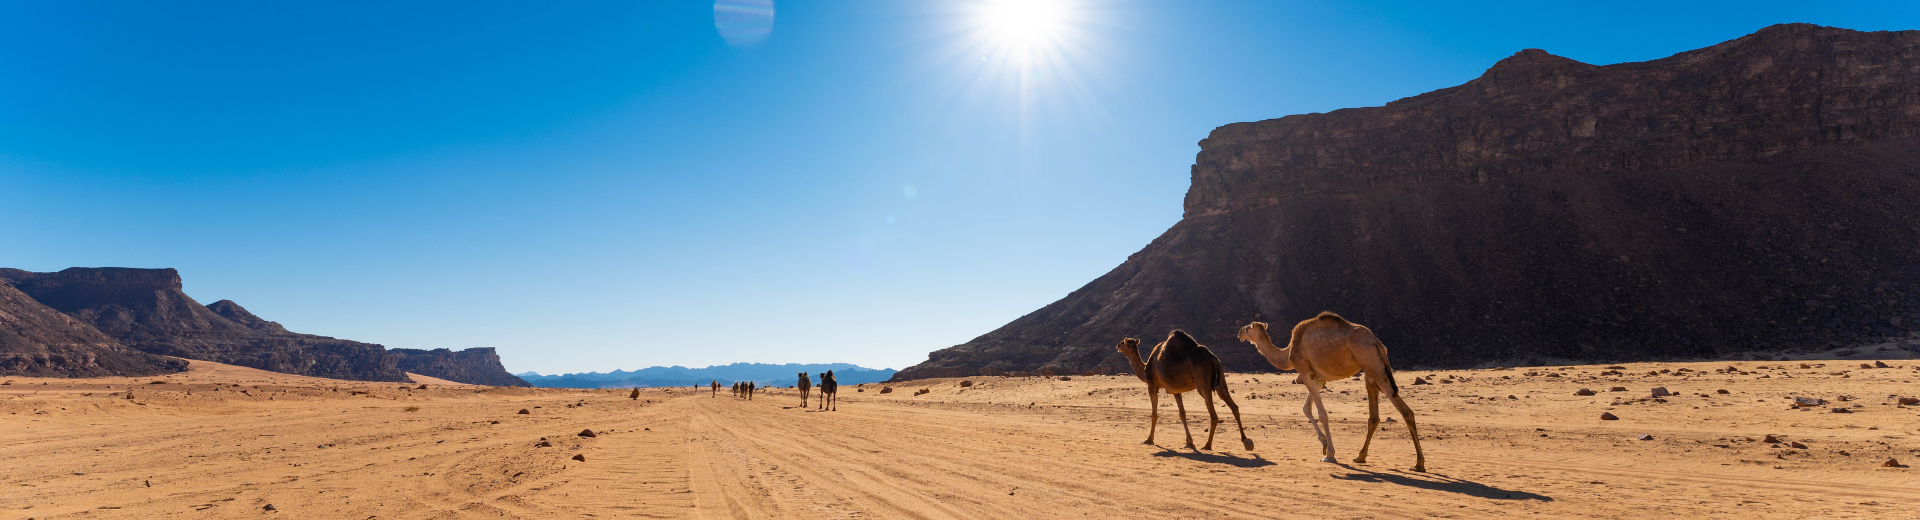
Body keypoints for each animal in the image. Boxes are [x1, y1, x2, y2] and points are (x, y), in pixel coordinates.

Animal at [1115, 330, 1252, 451]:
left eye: (1123, 342)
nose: (1117, 345)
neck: (1145, 369)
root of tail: (1213, 357)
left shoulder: (1152, 387)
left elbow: (1154, 415)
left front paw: (1148, 440)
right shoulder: (1176, 390)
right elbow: (1182, 414)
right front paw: (1189, 443)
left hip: (1203, 384)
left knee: (1214, 415)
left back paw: (1207, 445)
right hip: (1221, 381)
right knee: (1234, 407)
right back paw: (1246, 441)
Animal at [1239, 312, 1425, 472]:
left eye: (1248, 328)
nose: (1240, 332)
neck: (1287, 354)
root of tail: (1376, 342)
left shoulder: (1304, 372)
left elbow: (1322, 414)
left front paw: (1329, 455)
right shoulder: (1319, 378)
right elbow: (1306, 408)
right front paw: (1324, 445)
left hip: (1373, 365)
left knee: (1404, 411)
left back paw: (1418, 463)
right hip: (1370, 370)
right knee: (1377, 416)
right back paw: (1363, 457)